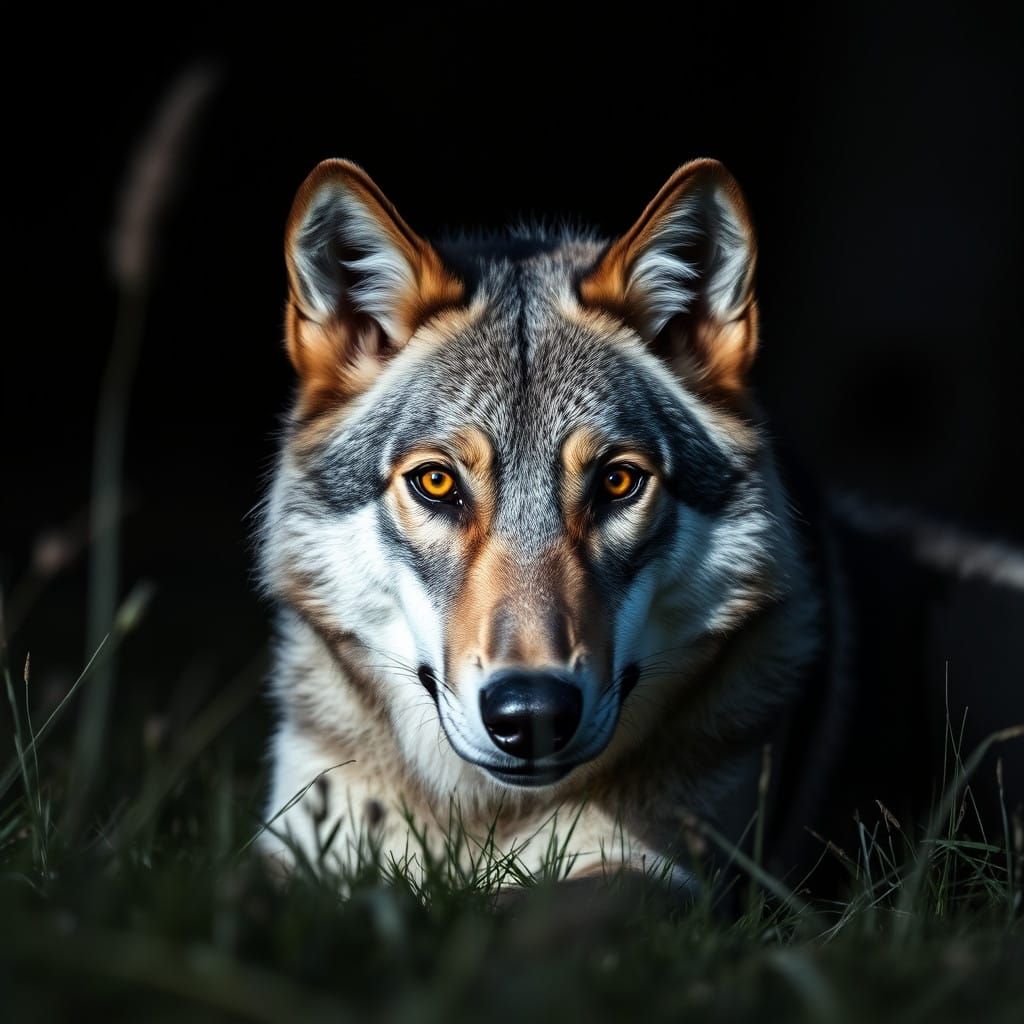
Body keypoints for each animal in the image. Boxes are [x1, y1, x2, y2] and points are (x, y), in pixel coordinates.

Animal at [257, 158, 1023, 894]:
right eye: (438, 483)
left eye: (618, 482)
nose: (531, 713)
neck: (483, 817)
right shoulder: (296, 846)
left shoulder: (659, 877)